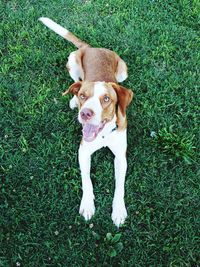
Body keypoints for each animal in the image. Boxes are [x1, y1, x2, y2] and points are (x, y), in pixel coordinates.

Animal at [38, 17, 133, 227]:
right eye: (83, 96)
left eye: (106, 99)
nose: (86, 113)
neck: (104, 133)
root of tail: (91, 48)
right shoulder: (83, 151)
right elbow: (86, 180)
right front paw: (88, 205)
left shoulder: (121, 157)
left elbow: (120, 186)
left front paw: (119, 211)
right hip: (72, 61)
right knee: (75, 80)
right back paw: (72, 101)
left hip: (123, 71)